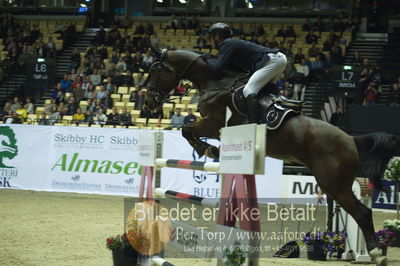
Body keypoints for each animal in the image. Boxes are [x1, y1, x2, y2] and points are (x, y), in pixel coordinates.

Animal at [146, 47, 400, 264]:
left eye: (156, 69)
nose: (149, 103)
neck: (217, 83)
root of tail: (352, 140)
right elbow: (187, 131)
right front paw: (209, 149)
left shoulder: (214, 123)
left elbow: (187, 130)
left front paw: (208, 149)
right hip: (332, 184)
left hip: (334, 183)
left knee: (362, 212)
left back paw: (376, 254)